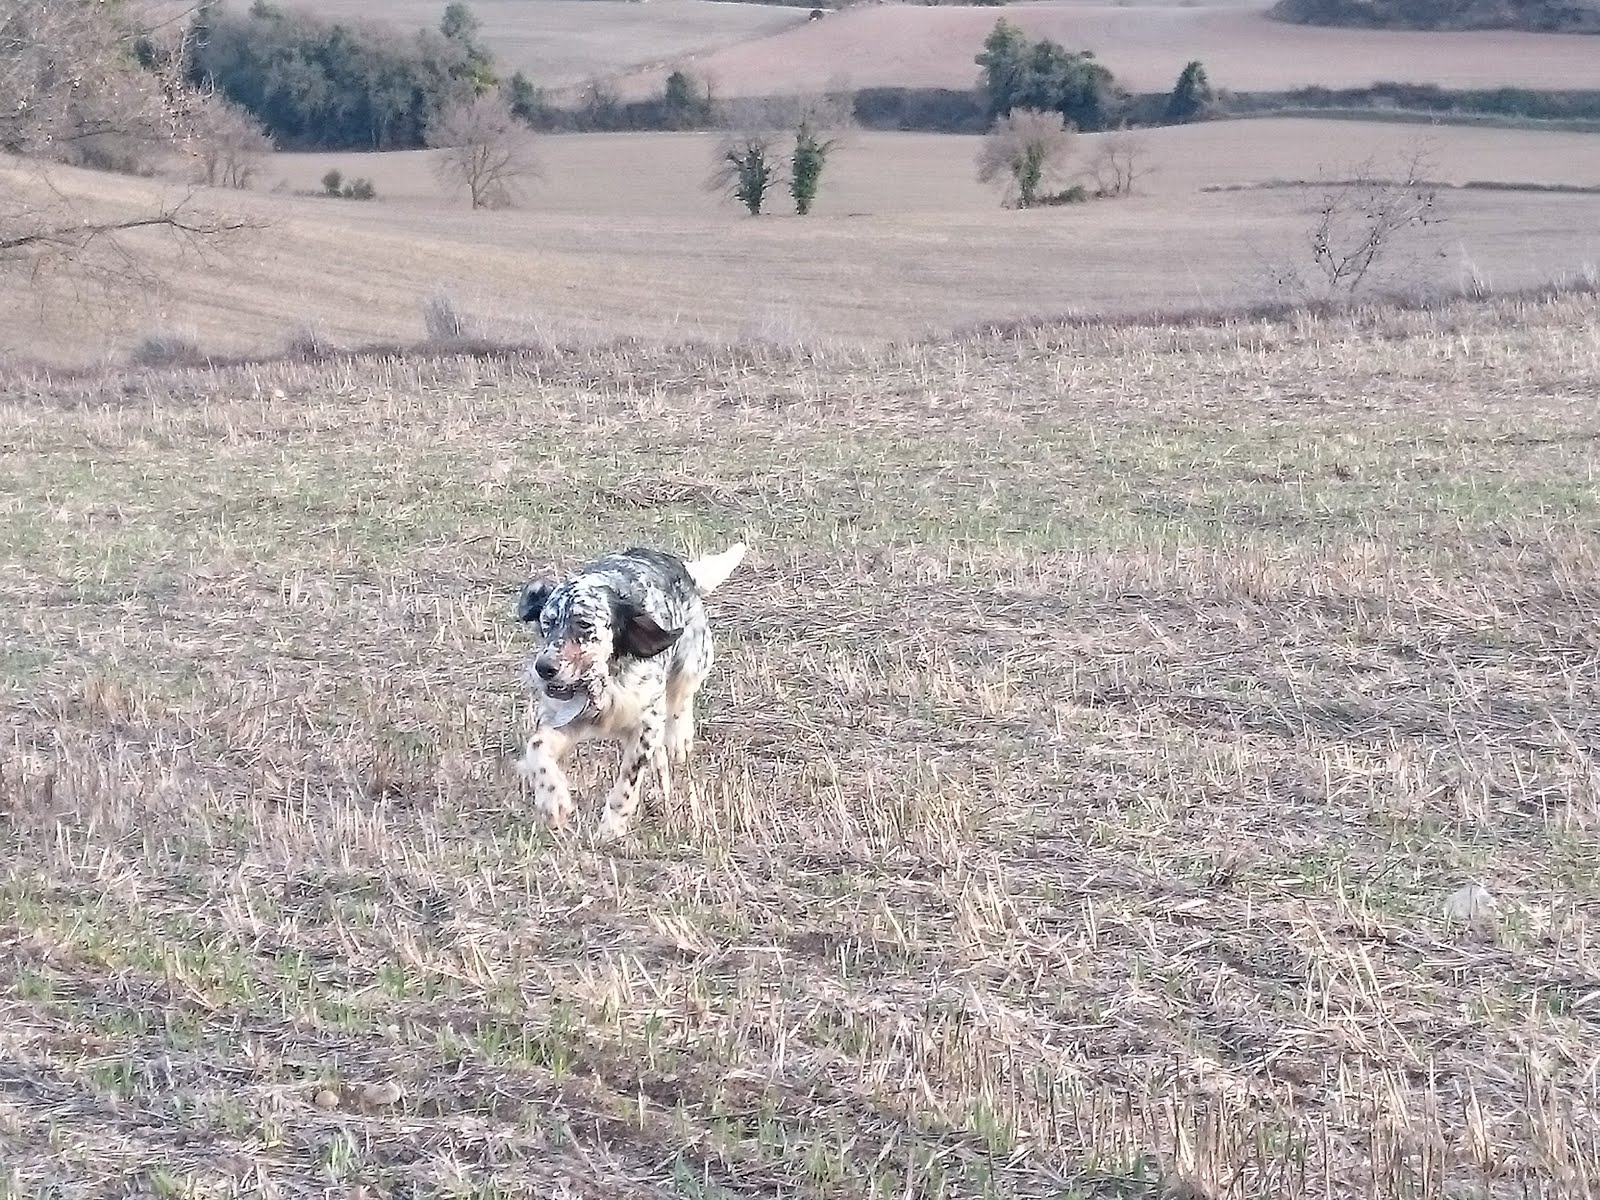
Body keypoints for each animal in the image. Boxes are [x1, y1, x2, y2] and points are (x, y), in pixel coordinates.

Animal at [512, 544, 748, 844]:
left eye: (584, 624)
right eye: (547, 622)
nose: (544, 668)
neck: (606, 680)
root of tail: (678, 565)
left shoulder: (646, 723)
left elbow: (627, 782)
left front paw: (610, 828)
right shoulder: (567, 720)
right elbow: (537, 747)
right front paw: (554, 802)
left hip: (693, 663)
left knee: (680, 703)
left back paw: (679, 741)